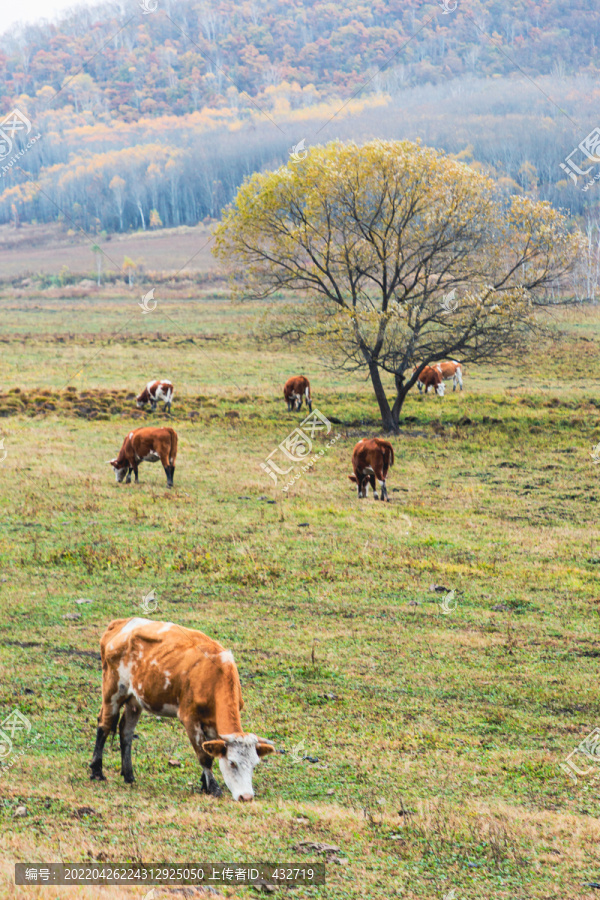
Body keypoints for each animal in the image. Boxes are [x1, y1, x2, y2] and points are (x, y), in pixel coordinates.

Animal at [88, 620, 274, 800]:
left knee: (125, 730)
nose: (246, 796)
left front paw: (204, 785)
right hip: (113, 689)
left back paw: (129, 776)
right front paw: (213, 788)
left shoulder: (212, 724)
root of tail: (120, 623)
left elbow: (208, 748)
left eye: (254, 765)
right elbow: (204, 756)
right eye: (232, 763)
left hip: (134, 699)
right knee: (104, 724)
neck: (215, 676)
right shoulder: (189, 718)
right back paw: (97, 771)